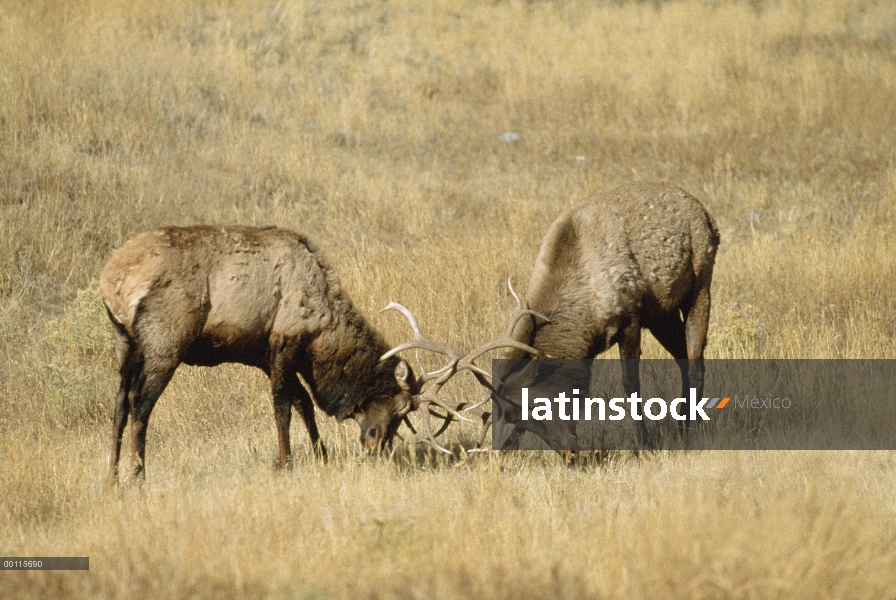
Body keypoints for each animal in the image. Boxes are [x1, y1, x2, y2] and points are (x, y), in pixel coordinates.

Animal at [100, 226, 418, 482]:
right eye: (400, 408)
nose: (376, 445)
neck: (323, 331)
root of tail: (112, 278)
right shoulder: (285, 344)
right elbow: (283, 408)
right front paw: (285, 464)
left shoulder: (266, 357)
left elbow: (304, 403)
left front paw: (322, 455)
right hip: (165, 343)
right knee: (140, 403)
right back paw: (138, 477)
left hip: (126, 343)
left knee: (119, 404)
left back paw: (112, 478)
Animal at [496, 183, 720, 450]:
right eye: (516, 416)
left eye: (536, 407)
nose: (568, 449)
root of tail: (707, 215)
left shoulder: (630, 320)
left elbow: (631, 385)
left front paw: (644, 442)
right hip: (661, 314)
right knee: (683, 358)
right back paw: (681, 427)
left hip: (700, 285)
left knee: (696, 361)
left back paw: (693, 432)